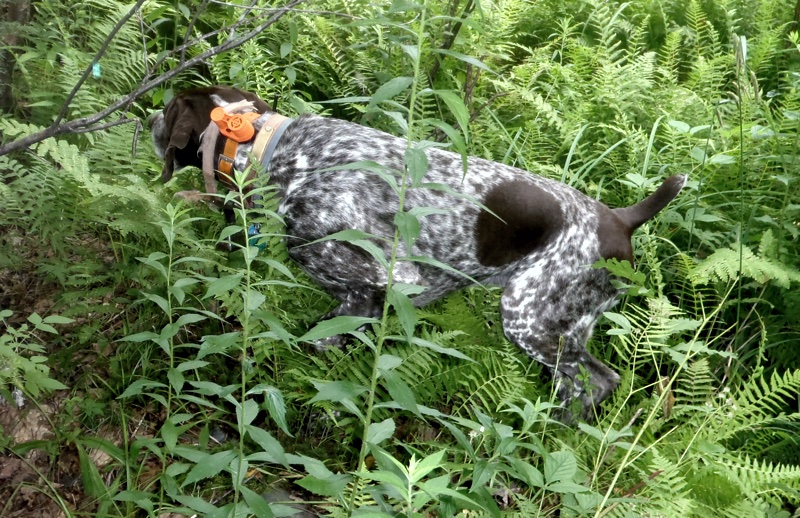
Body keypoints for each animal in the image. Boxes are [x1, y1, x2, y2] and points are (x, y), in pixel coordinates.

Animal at [150, 85, 688, 418]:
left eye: (171, 107)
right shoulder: (360, 299)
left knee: (590, 383)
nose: (149, 117)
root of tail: (621, 218)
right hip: (562, 326)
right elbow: (328, 339)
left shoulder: (390, 275)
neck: (280, 150)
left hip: (529, 318)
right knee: (591, 383)